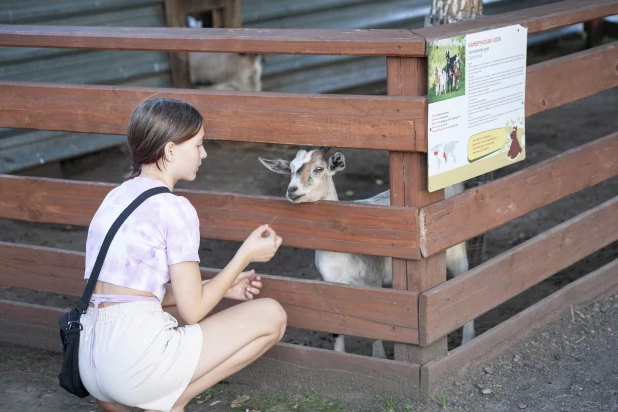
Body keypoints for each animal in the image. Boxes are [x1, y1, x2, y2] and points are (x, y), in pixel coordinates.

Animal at [260, 147, 472, 358]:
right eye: (290, 169)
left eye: (319, 168)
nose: (292, 190)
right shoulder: (332, 285)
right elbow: (336, 329)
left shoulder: (372, 281)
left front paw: (379, 357)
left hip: (456, 254)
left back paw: (467, 341)